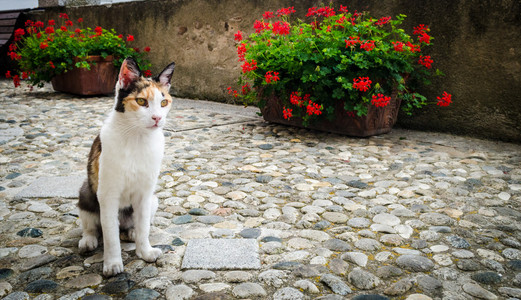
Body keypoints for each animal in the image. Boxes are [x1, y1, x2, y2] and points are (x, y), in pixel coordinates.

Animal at [76, 56, 175, 276]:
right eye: (141, 101)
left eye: (164, 102)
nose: (157, 118)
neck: (137, 138)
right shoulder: (108, 194)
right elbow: (110, 235)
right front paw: (112, 264)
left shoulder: (145, 193)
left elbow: (143, 226)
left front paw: (145, 251)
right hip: (86, 191)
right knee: (92, 224)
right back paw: (88, 240)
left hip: (153, 200)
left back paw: (131, 232)